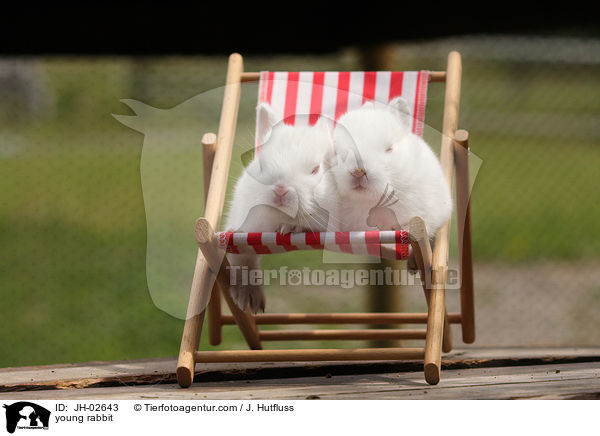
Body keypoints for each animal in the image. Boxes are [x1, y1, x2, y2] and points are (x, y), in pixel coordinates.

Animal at [226, 102, 338, 314]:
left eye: (315, 169)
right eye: (261, 166)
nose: (280, 190)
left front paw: (290, 228)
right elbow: (242, 258)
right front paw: (248, 300)